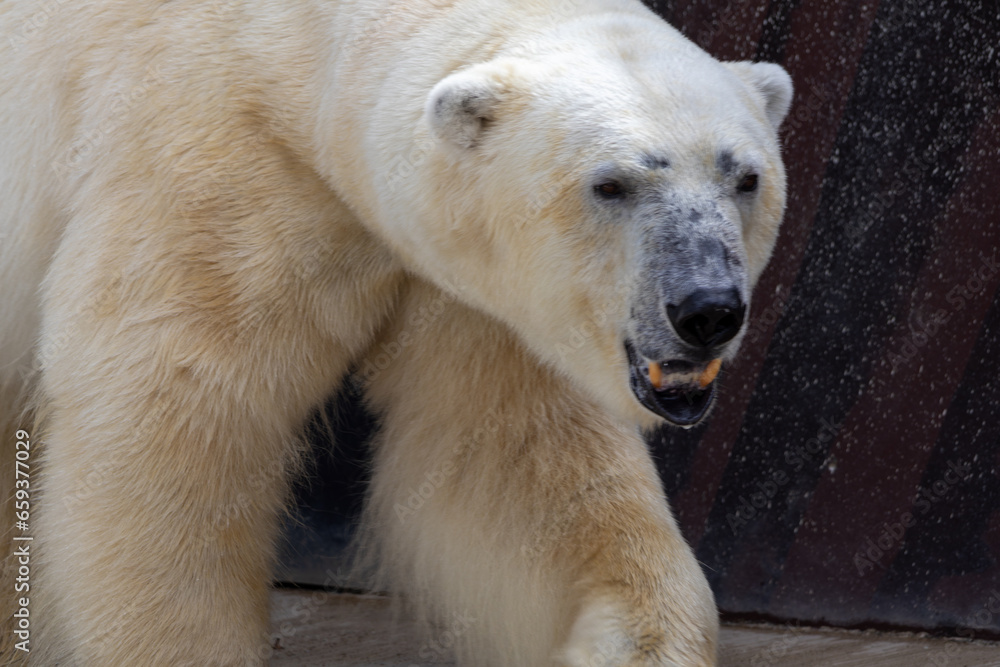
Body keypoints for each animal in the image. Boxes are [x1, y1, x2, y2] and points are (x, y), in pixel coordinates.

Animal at [0, 0, 792, 665]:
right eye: (611, 184)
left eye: (745, 177)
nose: (707, 308)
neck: (295, 43)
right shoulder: (214, 169)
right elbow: (172, 424)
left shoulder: (468, 284)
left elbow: (511, 459)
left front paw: (629, 639)